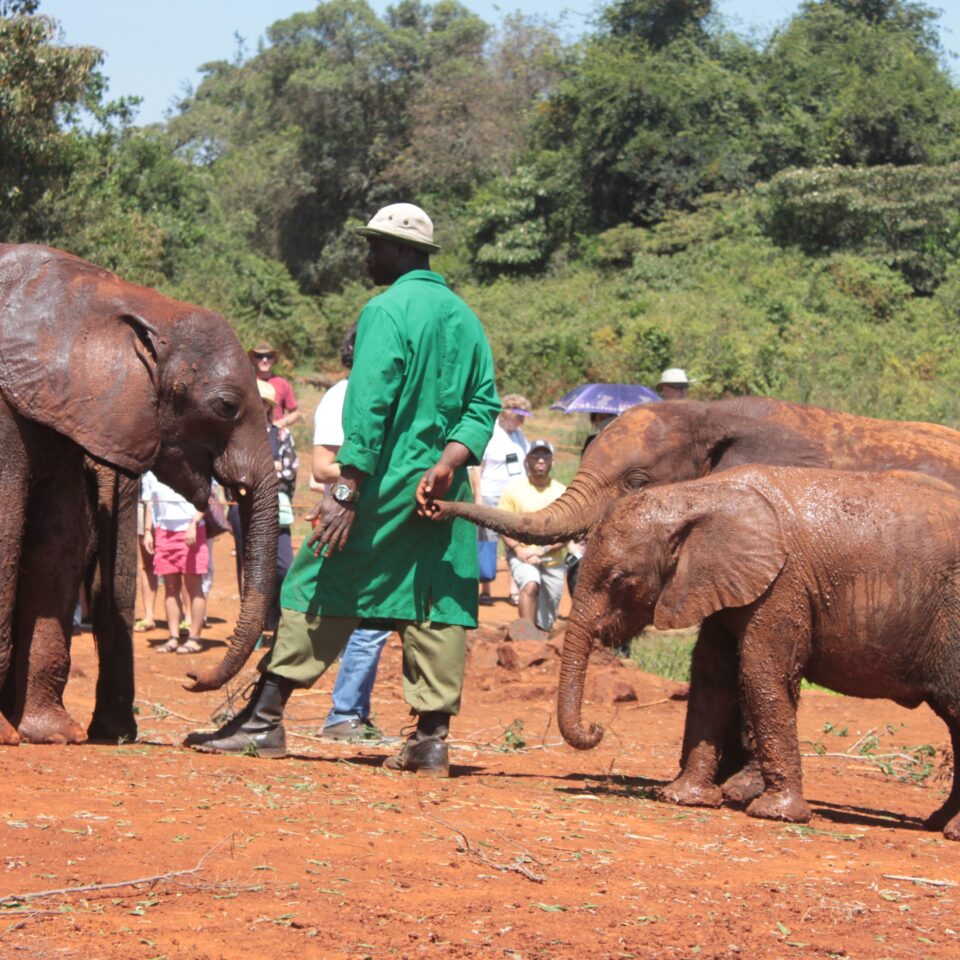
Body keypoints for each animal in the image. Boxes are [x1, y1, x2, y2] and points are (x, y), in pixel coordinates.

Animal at [560, 464, 960, 840]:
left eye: (620, 580)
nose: (597, 728)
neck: (696, 495)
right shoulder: (722, 583)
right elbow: (710, 676)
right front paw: (683, 797)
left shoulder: (783, 582)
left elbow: (760, 674)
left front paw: (775, 813)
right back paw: (940, 823)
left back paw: (950, 830)